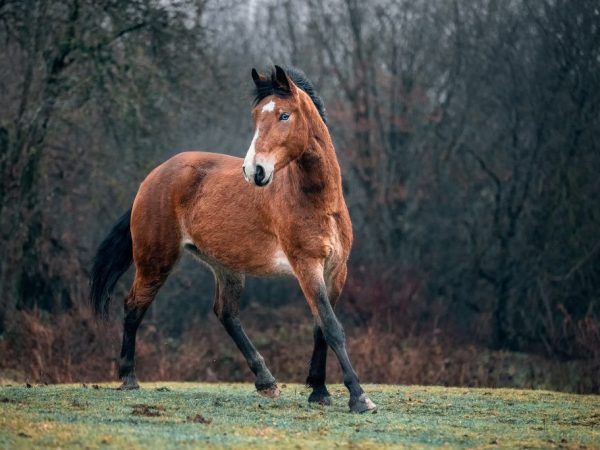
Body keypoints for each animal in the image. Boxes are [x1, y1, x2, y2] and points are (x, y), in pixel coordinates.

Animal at [90, 65, 376, 414]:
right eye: (256, 117)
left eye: (284, 115)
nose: (255, 171)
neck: (319, 201)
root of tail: (153, 177)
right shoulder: (306, 266)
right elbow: (332, 327)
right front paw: (358, 397)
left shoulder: (335, 270)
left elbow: (321, 326)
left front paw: (319, 391)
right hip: (155, 261)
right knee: (134, 306)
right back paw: (129, 377)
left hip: (226, 266)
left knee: (226, 314)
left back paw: (266, 381)